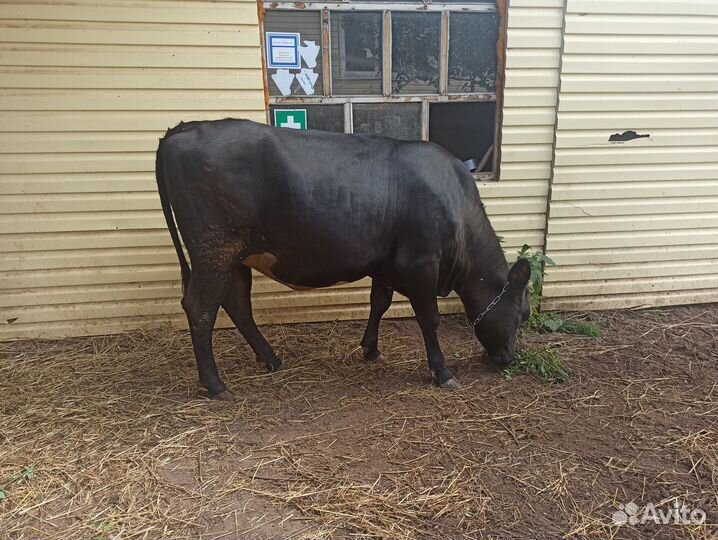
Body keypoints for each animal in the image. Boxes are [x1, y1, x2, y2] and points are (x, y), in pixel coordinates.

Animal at [155, 119, 531, 401]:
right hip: (213, 251)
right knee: (201, 309)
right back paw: (216, 385)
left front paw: (370, 350)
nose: (508, 359)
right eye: (522, 314)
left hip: (235, 257)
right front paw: (442, 372)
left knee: (237, 305)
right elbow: (429, 319)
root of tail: (186, 127)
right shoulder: (421, 263)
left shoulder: (386, 263)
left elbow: (379, 303)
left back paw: (271, 359)